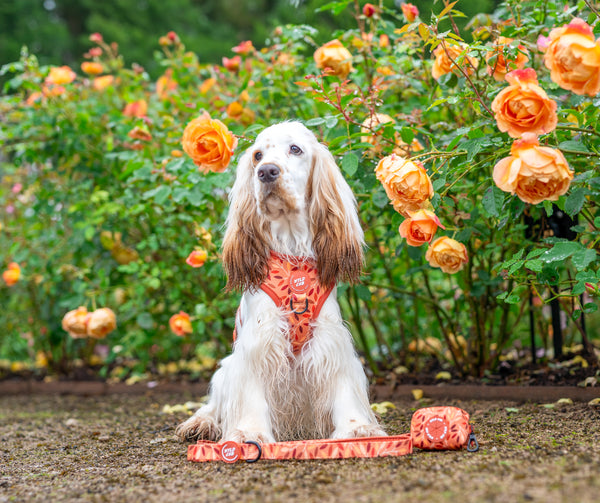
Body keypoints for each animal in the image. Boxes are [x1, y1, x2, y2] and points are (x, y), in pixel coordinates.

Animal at [176, 122, 386, 444]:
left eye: (295, 149)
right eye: (257, 156)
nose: (266, 172)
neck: (293, 253)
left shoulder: (330, 339)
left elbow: (343, 389)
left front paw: (357, 429)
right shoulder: (258, 344)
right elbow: (250, 396)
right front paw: (248, 433)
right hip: (226, 368)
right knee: (214, 405)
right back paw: (200, 424)